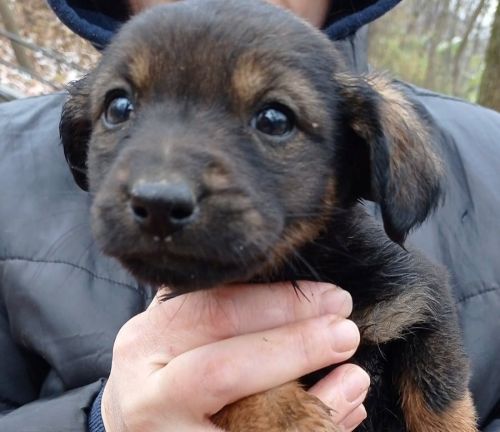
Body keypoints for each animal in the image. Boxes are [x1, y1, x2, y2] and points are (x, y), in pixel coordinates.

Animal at [60, 1, 478, 430]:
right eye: (118, 107)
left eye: (275, 120)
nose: (158, 204)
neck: (285, 272)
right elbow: (244, 380)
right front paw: (293, 416)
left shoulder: (420, 301)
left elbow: (439, 401)